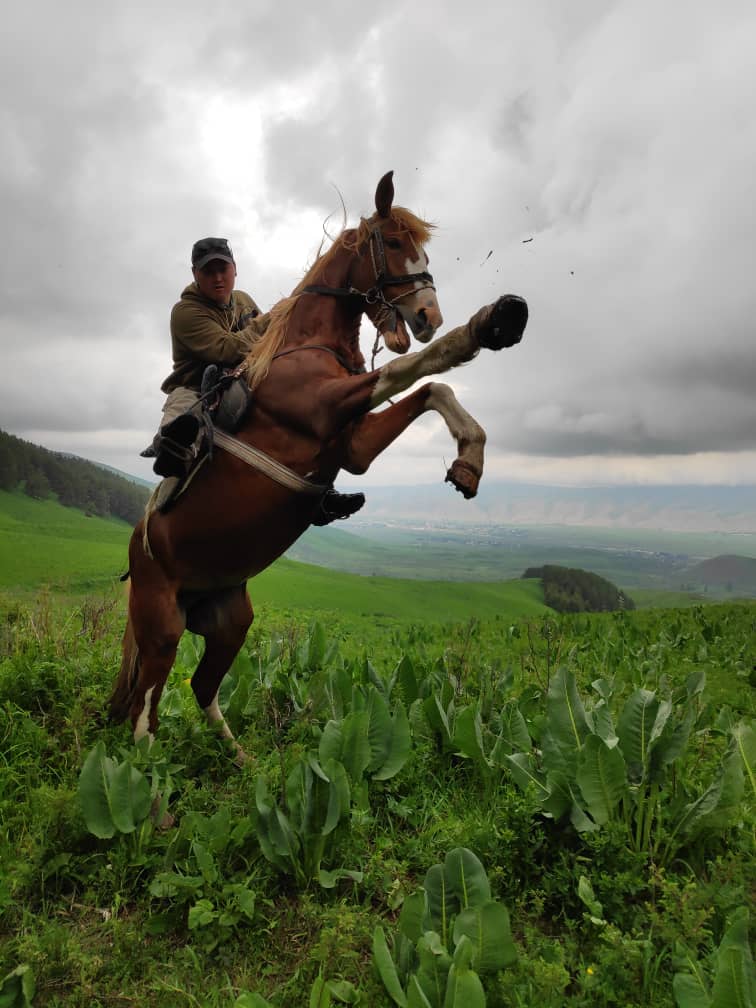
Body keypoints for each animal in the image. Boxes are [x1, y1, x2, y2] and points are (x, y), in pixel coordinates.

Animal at [108, 171, 528, 763]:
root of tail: (136, 554)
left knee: (201, 687)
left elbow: (431, 389)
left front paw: (469, 459)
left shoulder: (352, 447)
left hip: (230, 622)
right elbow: (410, 367)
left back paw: (241, 761)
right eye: (392, 243)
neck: (303, 345)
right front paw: (489, 323)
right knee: (146, 706)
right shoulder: (328, 407)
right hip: (161, 623)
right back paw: (150, 780)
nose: (429, 317)